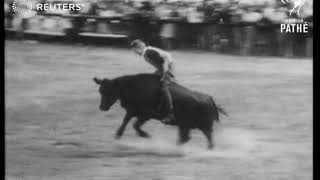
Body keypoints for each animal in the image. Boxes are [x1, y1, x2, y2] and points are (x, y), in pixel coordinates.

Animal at [93, 73, 228, 149]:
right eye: (100, 90)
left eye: (108, 90)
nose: (102, 107)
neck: (133, 86)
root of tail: (209, 98)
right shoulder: (132, 111)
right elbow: (125, 121)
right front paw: (118, 135)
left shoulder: (145, 115)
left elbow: (135, 125)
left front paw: (146, 135)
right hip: (185, 125)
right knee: (185, 138)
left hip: (201, 126)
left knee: (207, 137)